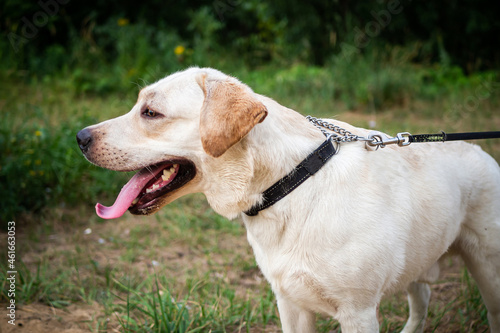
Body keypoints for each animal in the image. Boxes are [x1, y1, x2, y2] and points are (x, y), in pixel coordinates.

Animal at [76, 67, 498, 332]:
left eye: (150, 112)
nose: (79, 138)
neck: (289, 184)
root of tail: (483, 152)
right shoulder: (290, 305)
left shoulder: (358, 312)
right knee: (422, 295)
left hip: (488, 269)